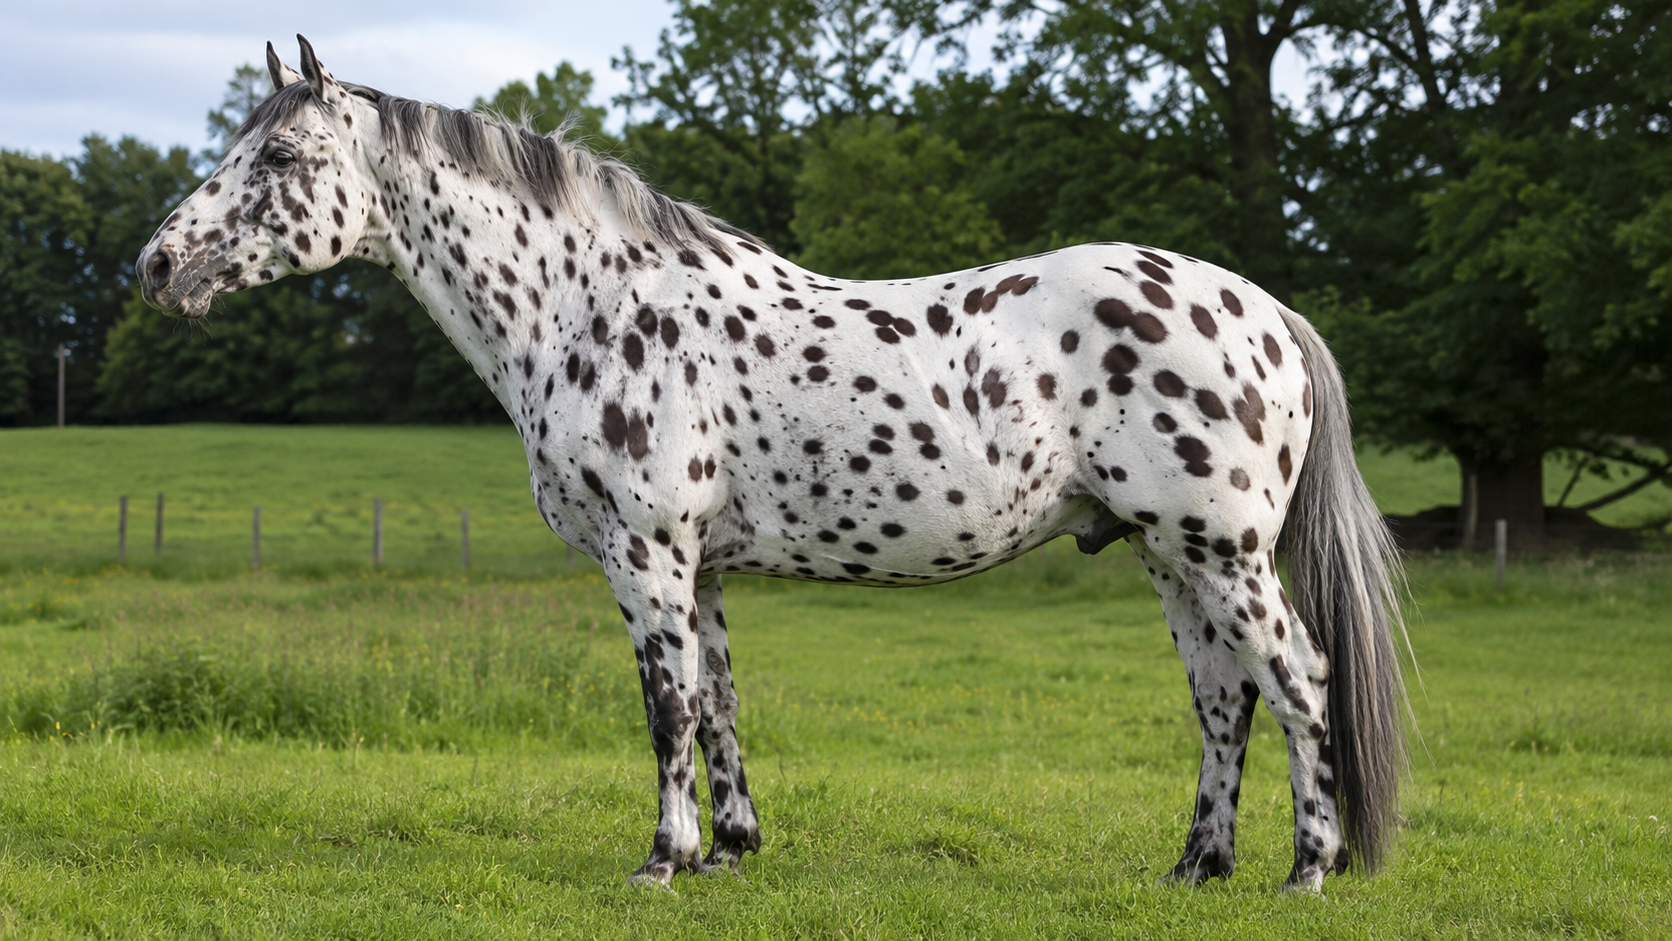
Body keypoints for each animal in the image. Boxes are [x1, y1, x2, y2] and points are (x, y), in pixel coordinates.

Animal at [137, 37, 1408, 892]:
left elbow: (665, 704)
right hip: (1168, 555)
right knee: (1223, 694)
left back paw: (1307, 867)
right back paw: (1196, 865)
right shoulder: (697, 565)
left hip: (1223, 552)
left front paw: (661, 858)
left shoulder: (646, 553)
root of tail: (1263, 310)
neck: (591, 307)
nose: (155, 265)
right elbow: (718, 699)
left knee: (1298, 677)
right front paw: (731, 848)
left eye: (283, 152)